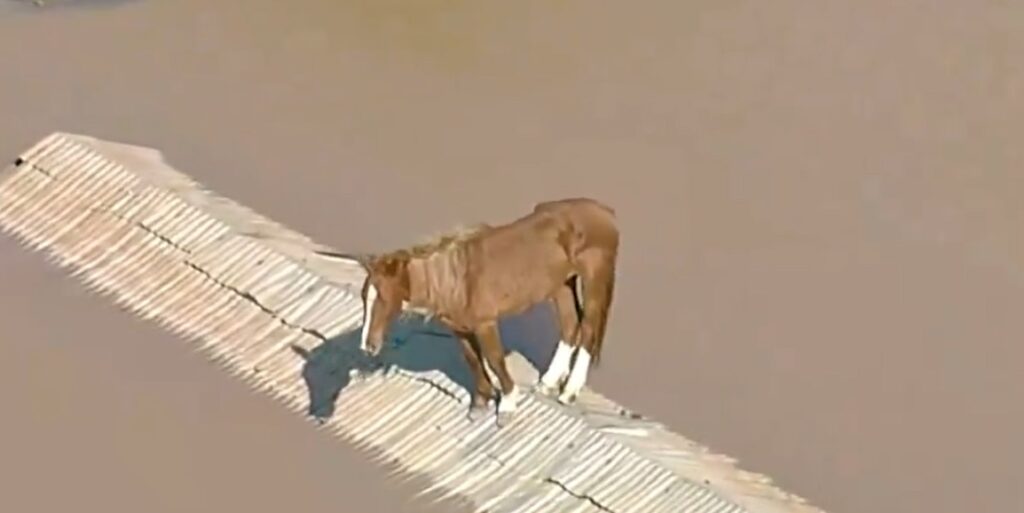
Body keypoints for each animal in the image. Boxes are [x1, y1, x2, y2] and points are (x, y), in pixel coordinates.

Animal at [354, 197, 619, 424]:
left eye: (384, 298)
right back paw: (547, 383)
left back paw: (569, 392)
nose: (367, 346)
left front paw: (508, 404)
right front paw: (481, 403)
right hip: (561, 284)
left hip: (594, 279)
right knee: (570, 326)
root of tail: (606, 213)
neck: (457, 279)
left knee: (588, 331)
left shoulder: (485, 324)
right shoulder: (459, 329)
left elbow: (494, 359)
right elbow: (473, 360)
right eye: (364, 297)